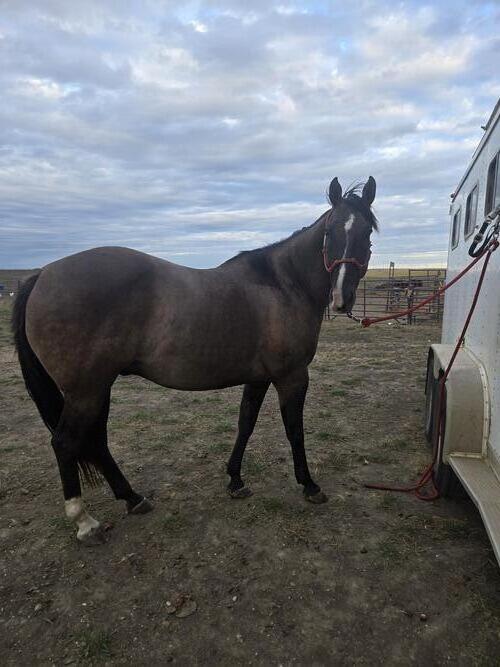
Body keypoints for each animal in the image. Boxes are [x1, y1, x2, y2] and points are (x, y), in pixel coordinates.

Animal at [12, 176, 377, 544]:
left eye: (367, 232)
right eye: (330, 231)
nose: (342, 298)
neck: (281, 285)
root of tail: (42, 274)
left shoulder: (259, 377)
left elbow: (246, 423)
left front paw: (235, 480)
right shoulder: (292, 377)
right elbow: (295, 431)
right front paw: (309, 485)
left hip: (97, 389)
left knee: (96, 441)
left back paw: (133, 498)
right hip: (86, 391)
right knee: (65, 443)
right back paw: (85, 521)